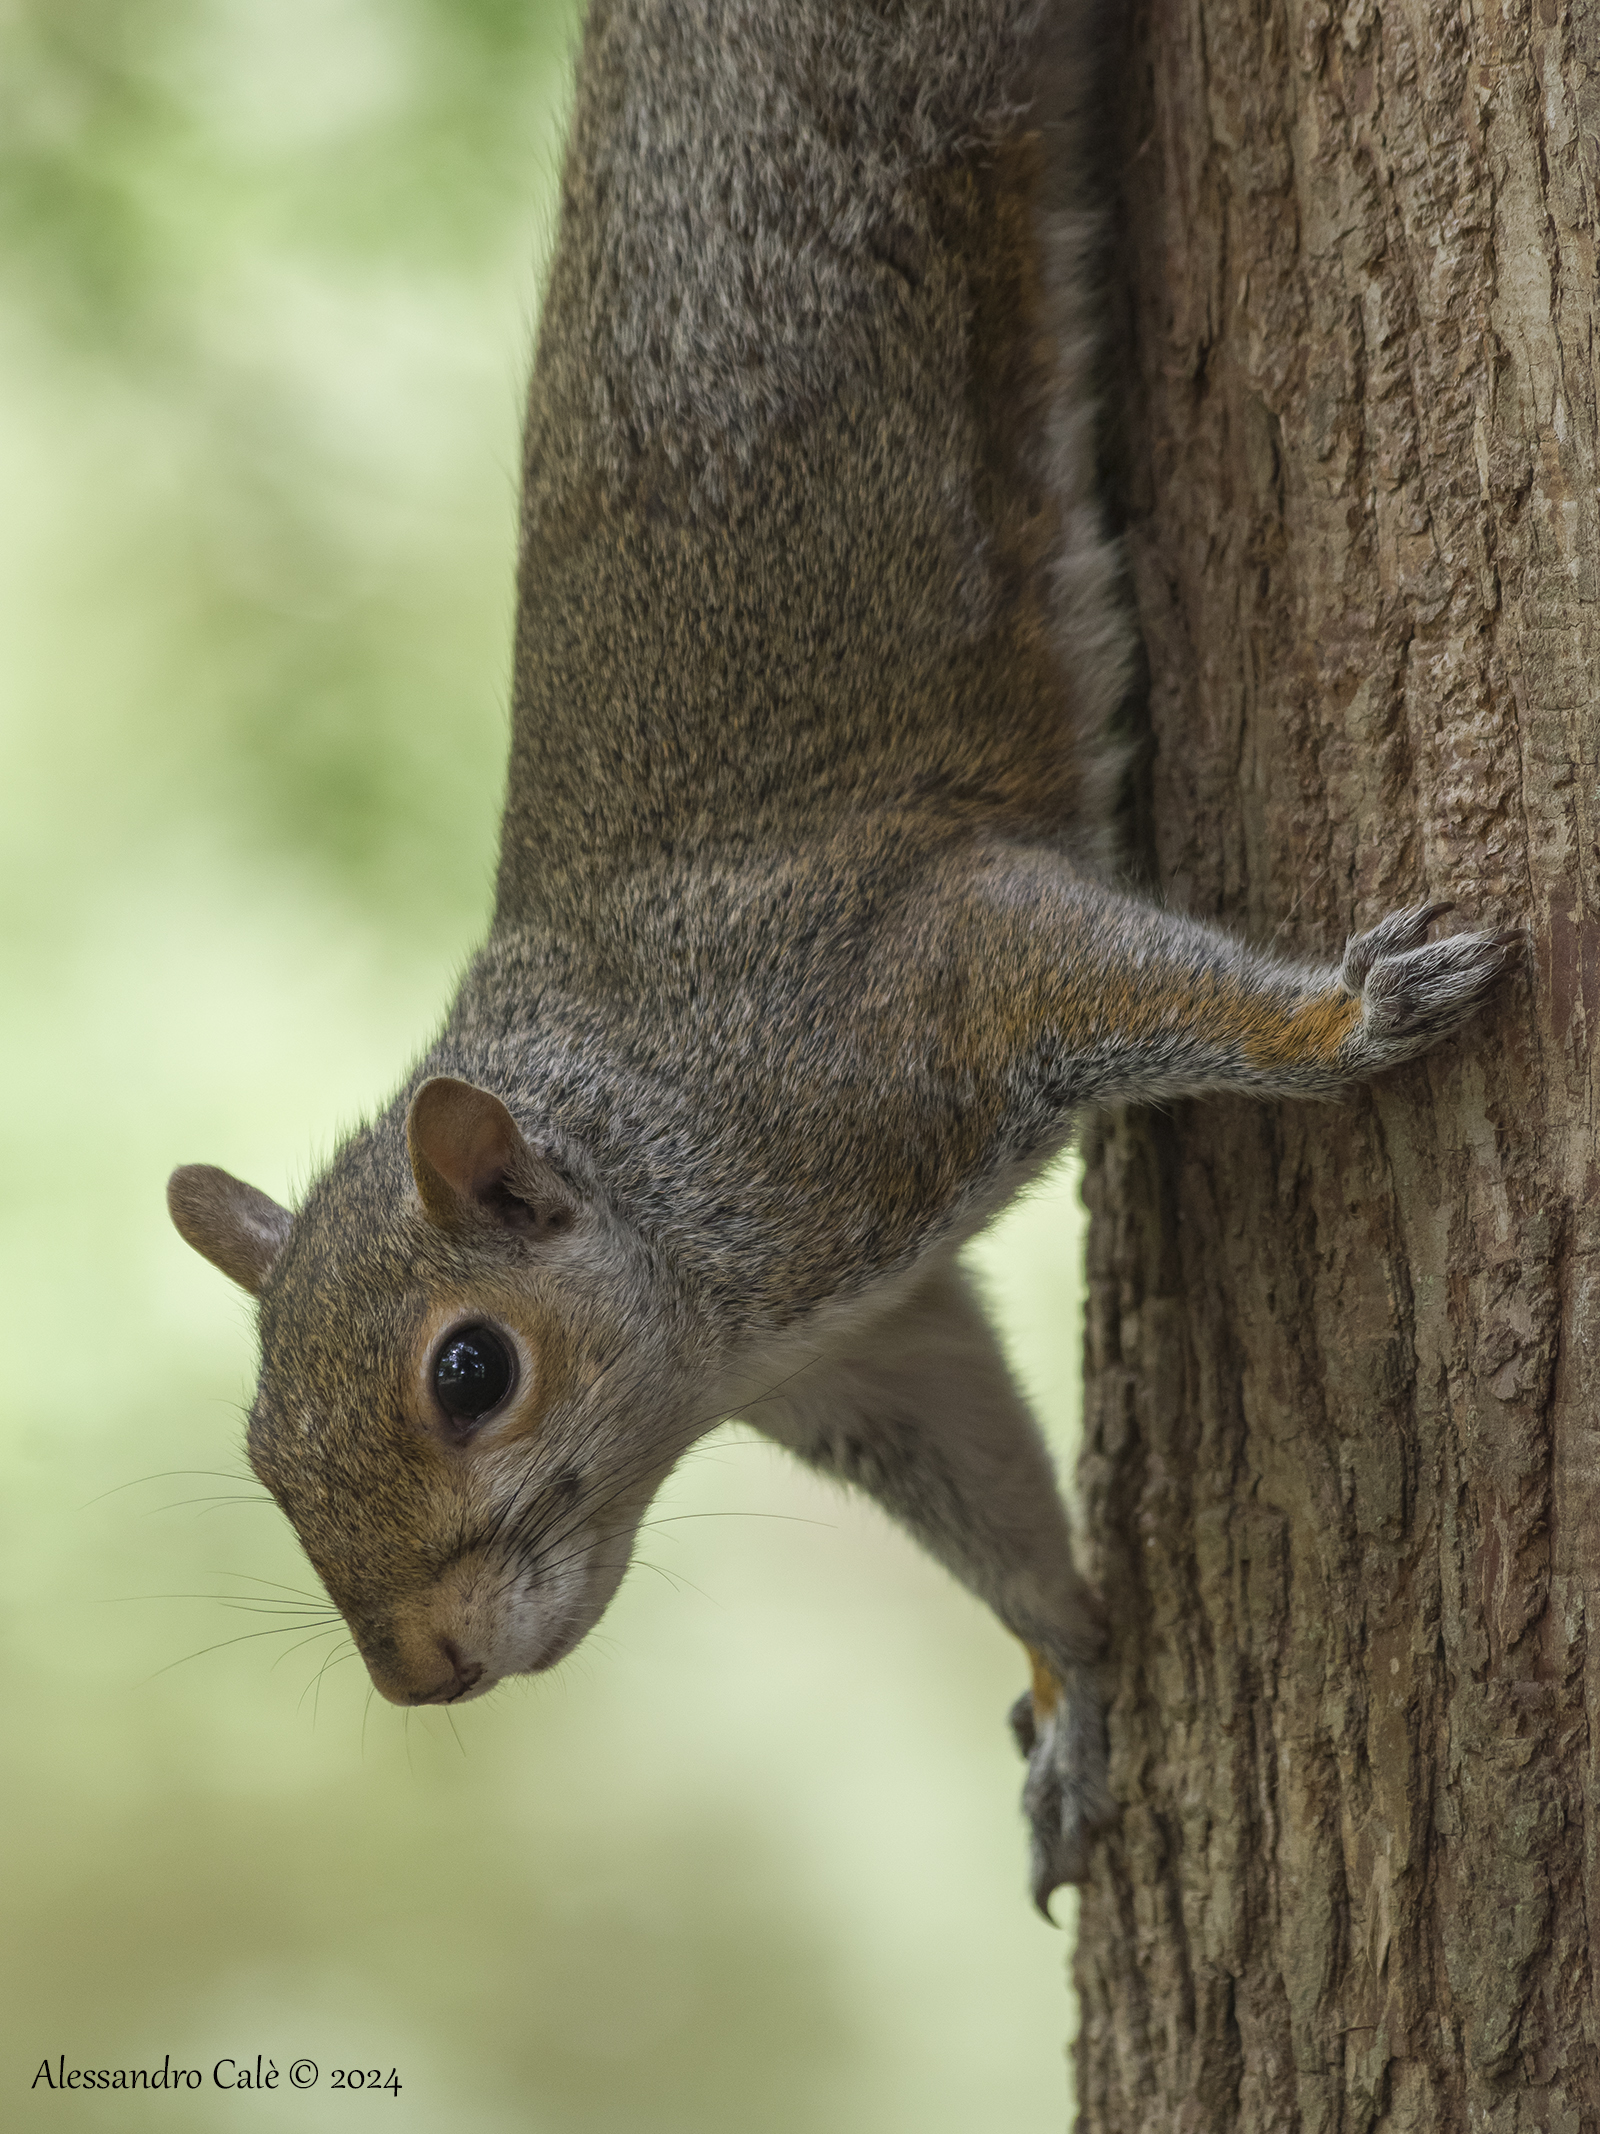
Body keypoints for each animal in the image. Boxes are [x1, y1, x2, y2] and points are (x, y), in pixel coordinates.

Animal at [167, 0, 1515, 1914]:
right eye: (264, 1448)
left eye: (471, 1370)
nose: (418, 1672)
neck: (691, 1239)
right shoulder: (866, 1356)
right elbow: (993, 1505)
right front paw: (1077, 1682)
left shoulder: (896, 988)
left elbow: (1086, 964)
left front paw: (1349, 1016)